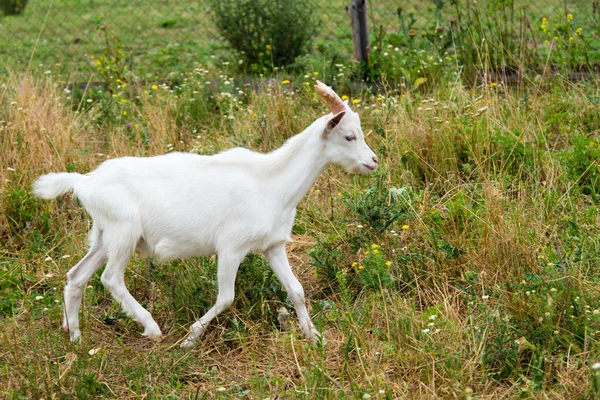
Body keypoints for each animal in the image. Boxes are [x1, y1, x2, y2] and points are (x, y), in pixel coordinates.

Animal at [31, 81, 376, 346]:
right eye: (349, 136)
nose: (373, 161)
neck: (271, 183)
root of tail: (85, 181)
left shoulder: (273, 246)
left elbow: (297, 290)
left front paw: (313, 336)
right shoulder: (231, 247)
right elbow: (226, 297)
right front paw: (190, 337)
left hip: (104, 235)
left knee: (77, 276)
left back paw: (75, 336)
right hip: (123, 231)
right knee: (111, 278)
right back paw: (151, 328)